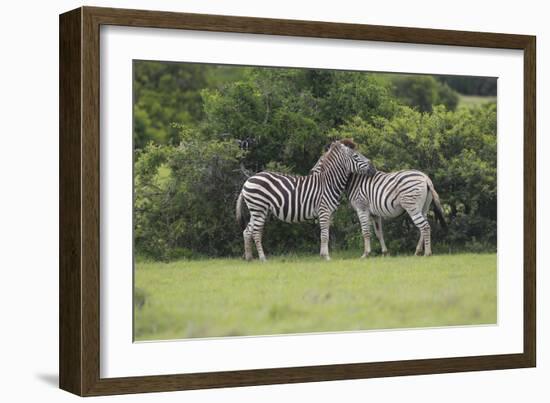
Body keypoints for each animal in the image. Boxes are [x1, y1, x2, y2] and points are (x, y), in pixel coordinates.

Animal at [235, 141, 378, 262]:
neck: (329, 183)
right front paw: (326, 257)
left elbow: (325, 233)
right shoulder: (324, 210)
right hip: (259, 208)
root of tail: (247, 181)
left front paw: (322, 255)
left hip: (258, 210)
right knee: (256, 232)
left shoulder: (329, 213)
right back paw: (263, 258)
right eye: (356, 156)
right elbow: (324, 235)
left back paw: (249, 258)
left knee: (247, 231)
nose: (373, 168)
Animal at [310, 147, 448, 258]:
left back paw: (427, 253)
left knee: (425, 227)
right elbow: (379, 233)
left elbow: (365, 231)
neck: (355, 181)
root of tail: (425, 178)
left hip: (412, 206)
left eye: (321, 161)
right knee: (423, 227)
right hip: (423, 207)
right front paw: (385, 253)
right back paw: (418, 251)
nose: (311, 172)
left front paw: (366, 254)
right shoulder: (374, 213)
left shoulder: (362, 208)